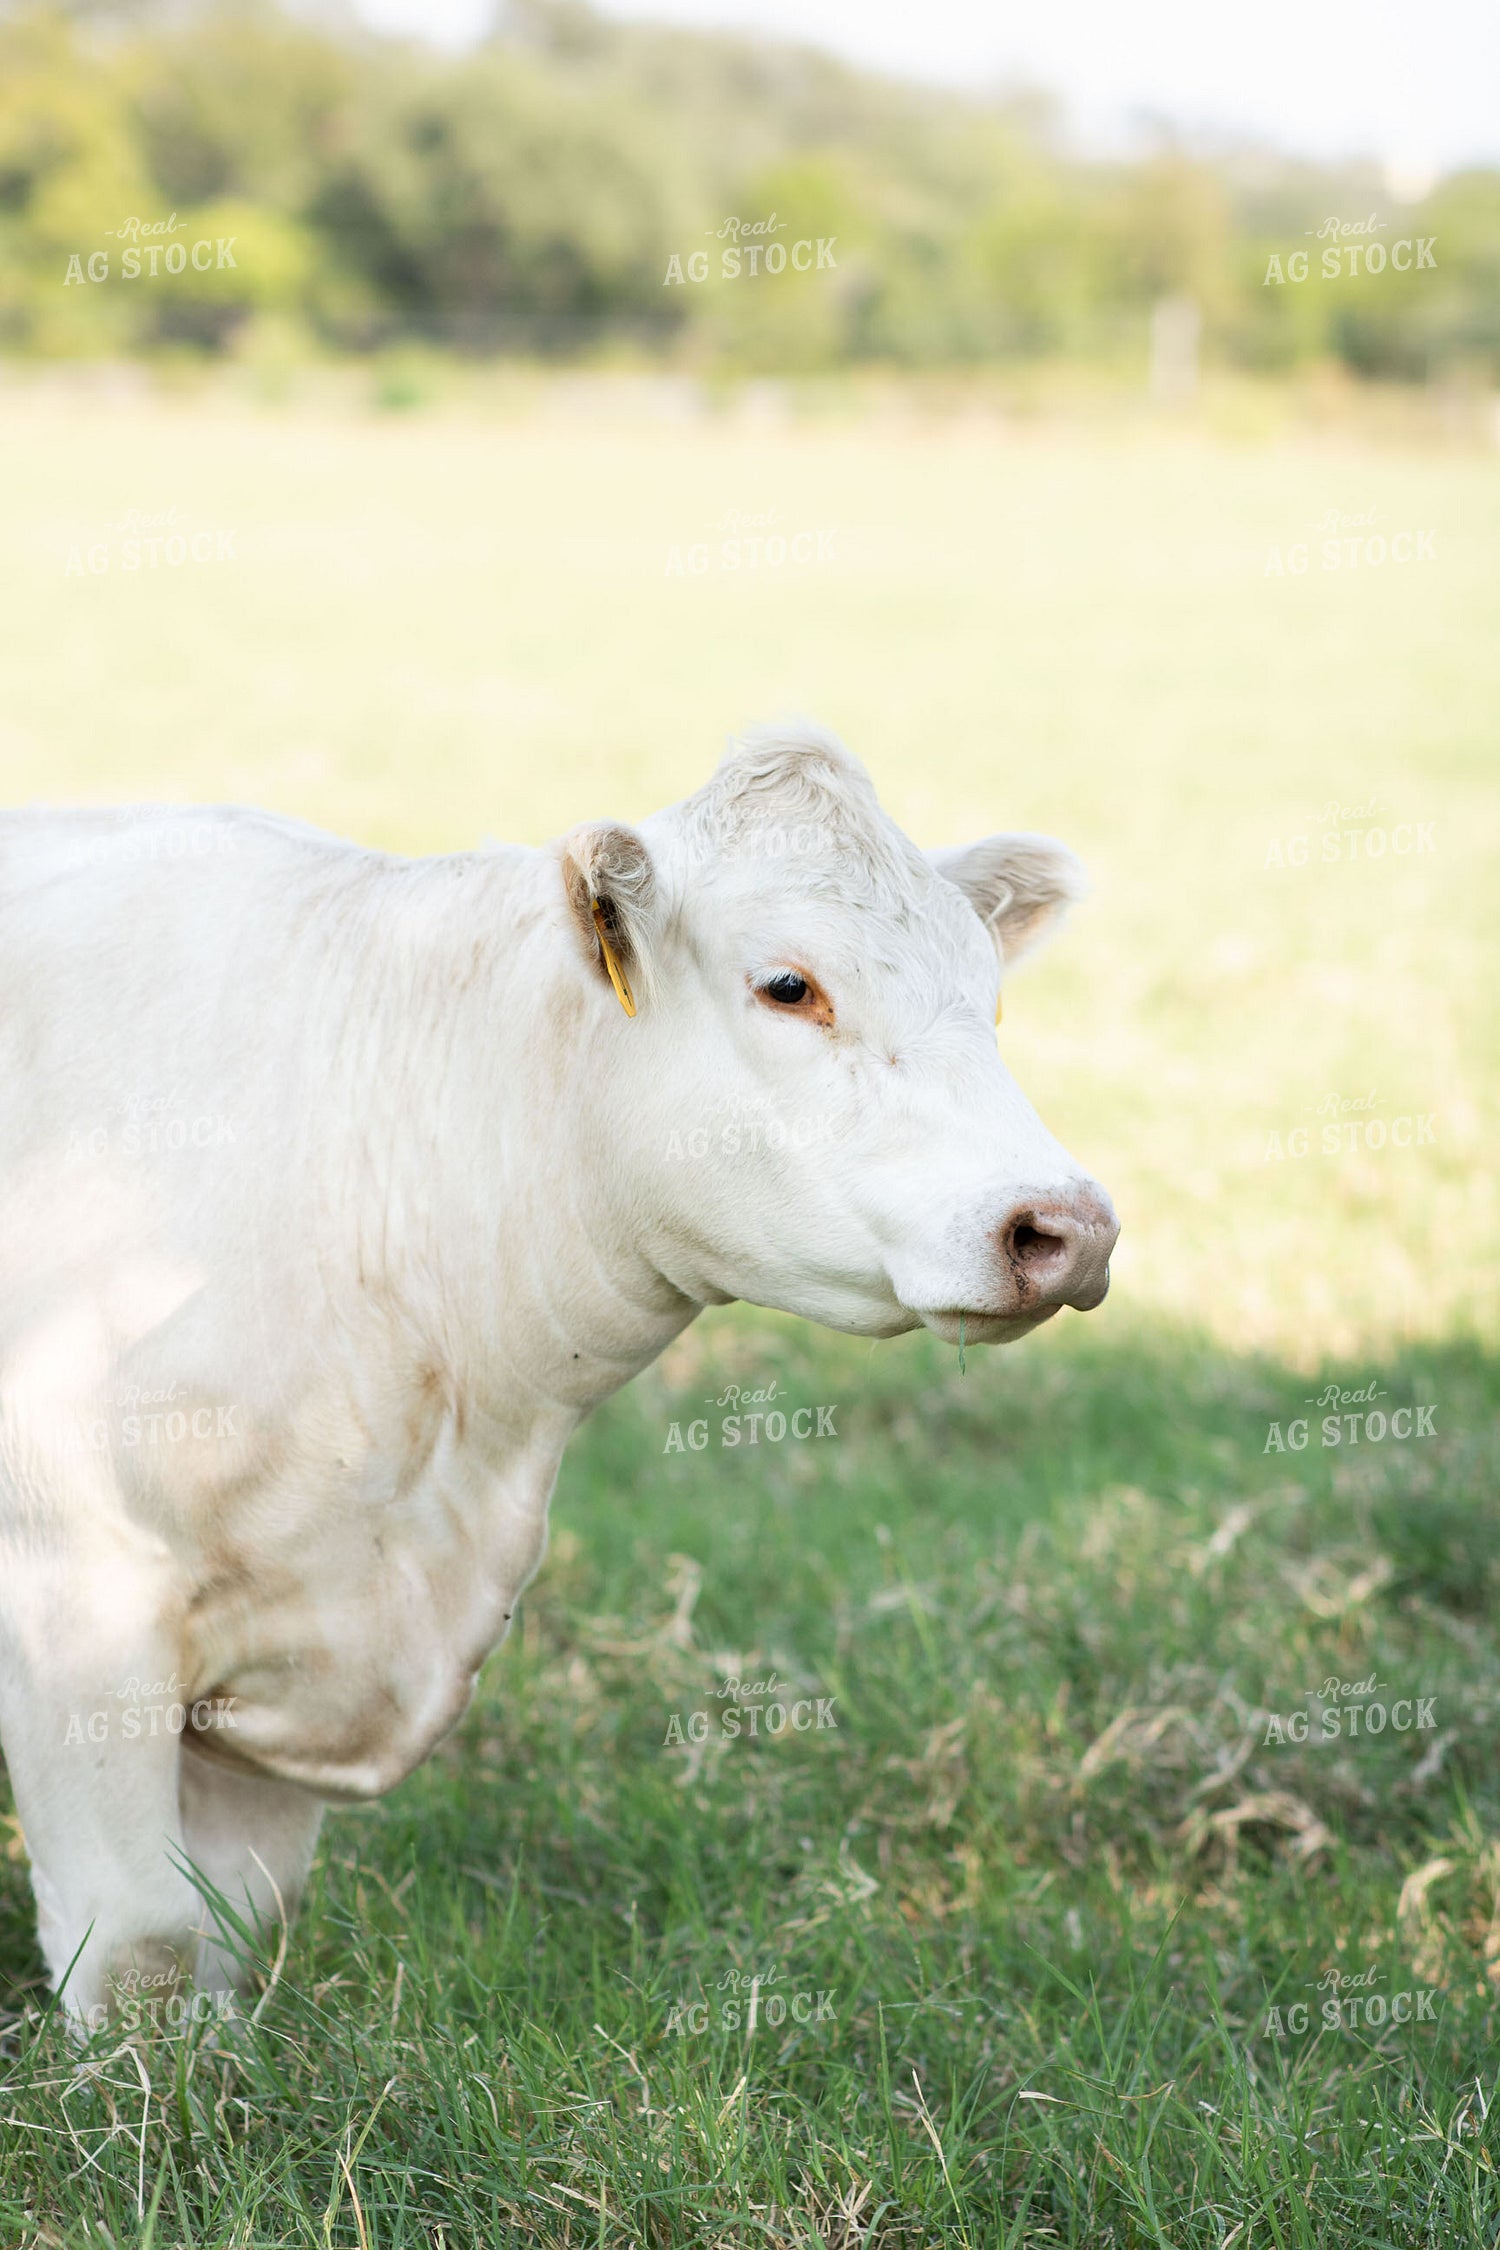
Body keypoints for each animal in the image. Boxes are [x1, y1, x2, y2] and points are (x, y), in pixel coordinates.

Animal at [0, 720, 1117, 2029]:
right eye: (789, 985)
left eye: (989, 996)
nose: (1069, 1227)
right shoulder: (76, 1598)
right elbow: (145, 1949)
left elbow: (232, 1927)